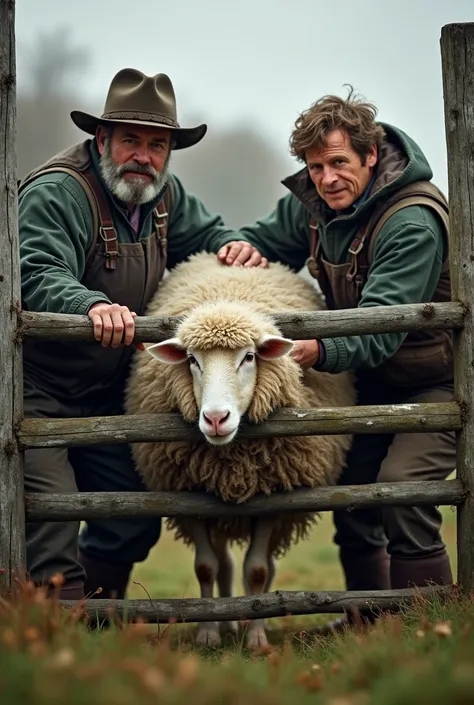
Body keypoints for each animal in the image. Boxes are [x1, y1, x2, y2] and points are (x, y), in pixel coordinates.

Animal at [124, 252, 358, 648]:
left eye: (249, 357)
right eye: (192, 360)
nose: (216, 418)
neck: (231, 461)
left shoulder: (273, 495)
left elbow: (258, 570)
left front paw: (257, 637)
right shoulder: (185, 493)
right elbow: (206, 567)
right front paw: (206, 634)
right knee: (224, 564)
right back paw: (227, 622)